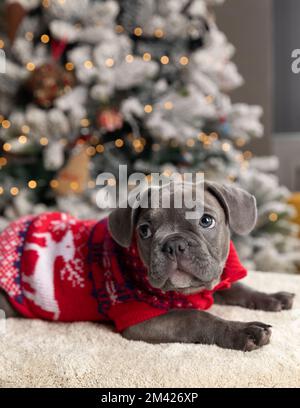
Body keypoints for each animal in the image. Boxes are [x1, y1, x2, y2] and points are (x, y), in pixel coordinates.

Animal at [108, 182, 296, 350]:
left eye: (206, 221)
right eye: (144, 230)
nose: (174, 244)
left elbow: (239, 289)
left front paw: (272, 297)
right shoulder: (142, 321)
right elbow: (194, 317)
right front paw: (242, 331)